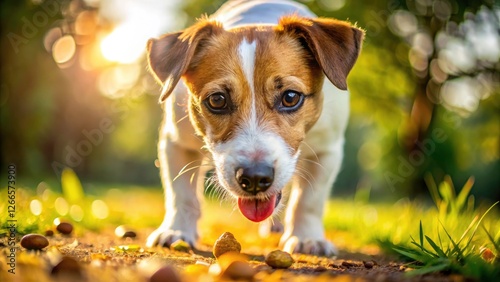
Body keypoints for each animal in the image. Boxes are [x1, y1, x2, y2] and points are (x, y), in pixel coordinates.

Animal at [145, 0, 364, 256]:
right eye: (217, 100)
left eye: (291, 97)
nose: (255, 178)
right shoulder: (177, 143)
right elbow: (182, 194)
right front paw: (176, 231)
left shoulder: (327, 151)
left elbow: (309, 201)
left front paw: (308, 238)